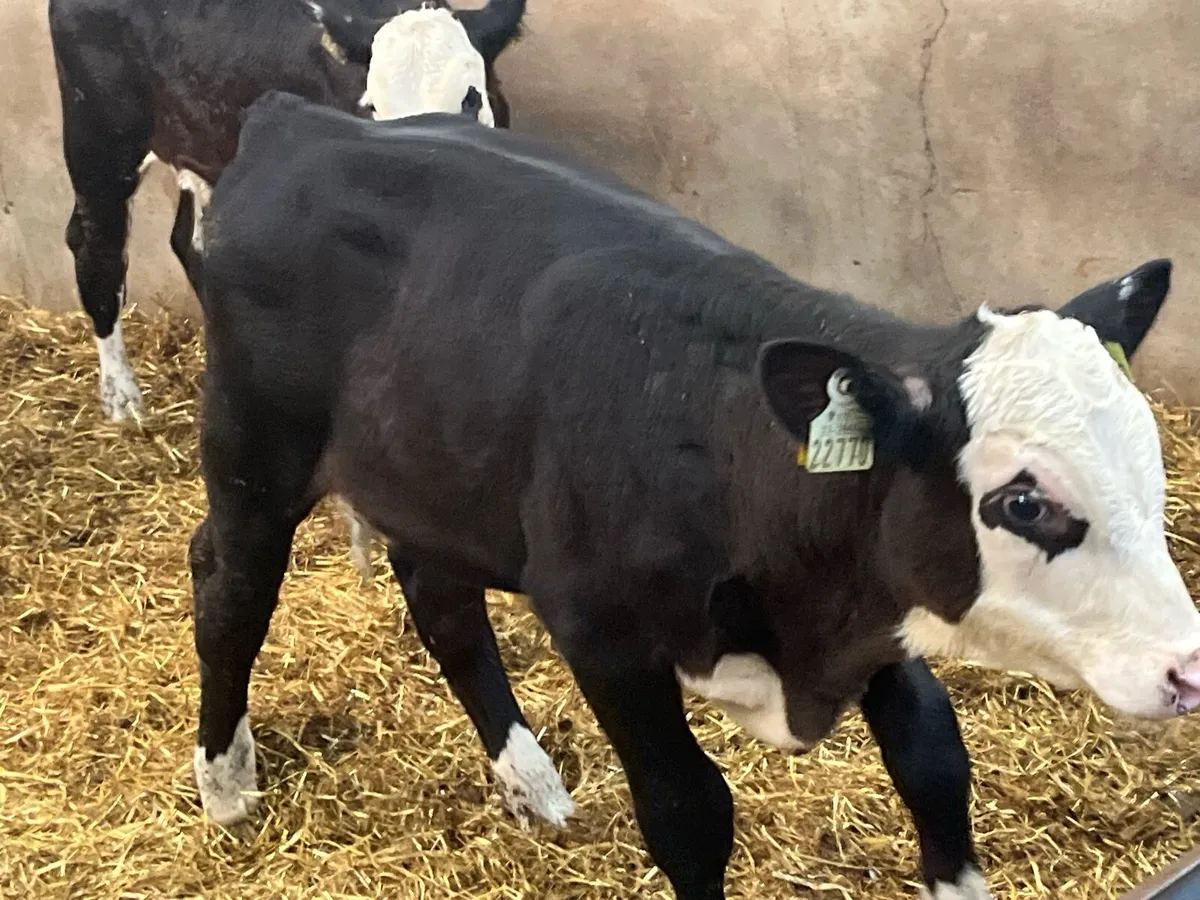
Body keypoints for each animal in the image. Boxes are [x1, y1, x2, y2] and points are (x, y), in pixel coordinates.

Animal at [185, 90, 1200, 900]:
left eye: (1150, 464)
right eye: (1023, 502)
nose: (1189, 669)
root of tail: (297, 119)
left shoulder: (875, 603)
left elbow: (935, 759)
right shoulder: (600, 631)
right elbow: (688, 812)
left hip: (437, 470)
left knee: (440, 598)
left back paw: (529, 779)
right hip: (255, 450)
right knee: (228, 579)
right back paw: (225, 781)